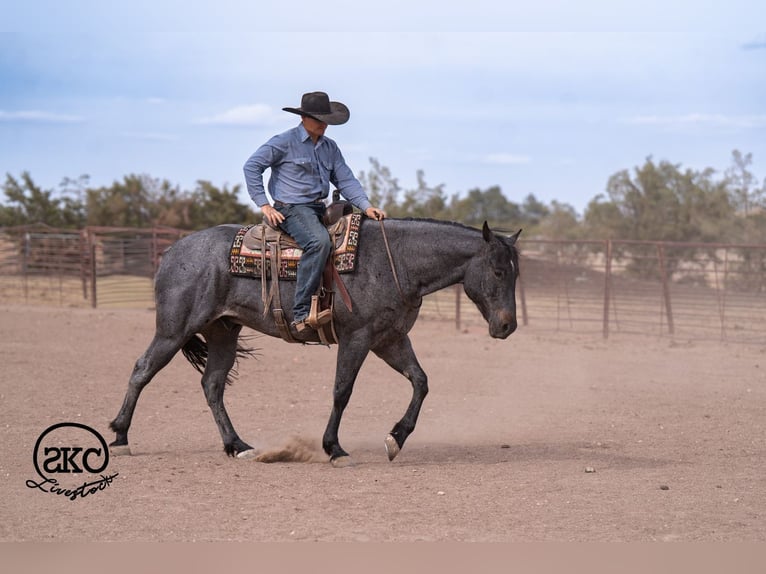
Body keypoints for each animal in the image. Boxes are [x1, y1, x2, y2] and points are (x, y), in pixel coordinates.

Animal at [109, 217, 521, 467]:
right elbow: (342, 391)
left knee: (212, 385)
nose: (507, 326)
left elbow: (420, 382)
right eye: (498, 271)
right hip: (173, 330)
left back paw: (237, 446)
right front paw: (334, 448)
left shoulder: (390, 339)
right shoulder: (357, 338)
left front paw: (396, 438)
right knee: (142, 370)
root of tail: (170, 253)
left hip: (223, 330)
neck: (397, 263)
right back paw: (121, 436)